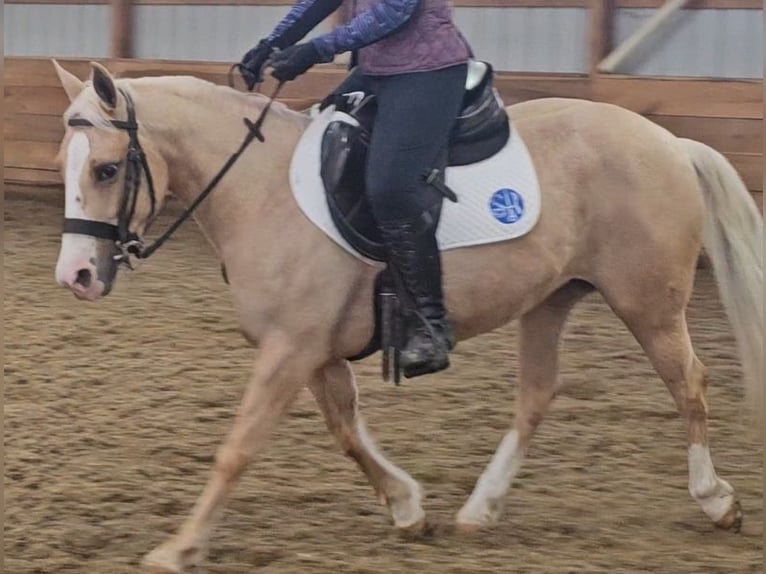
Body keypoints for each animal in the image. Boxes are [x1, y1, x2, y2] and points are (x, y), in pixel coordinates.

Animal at [52, 60, 760, 572]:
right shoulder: (314, 353)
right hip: (549, 301)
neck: (261, 189)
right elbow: (346, 432)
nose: (75, 277)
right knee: (536, 397)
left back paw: (717, 500)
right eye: (67, 166)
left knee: (689, 384)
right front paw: (407, 507)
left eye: (108, 169)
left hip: (648, 303)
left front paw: (179, 548)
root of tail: (668, 140)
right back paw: (480, 510)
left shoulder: (290, 349)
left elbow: (239, 448)